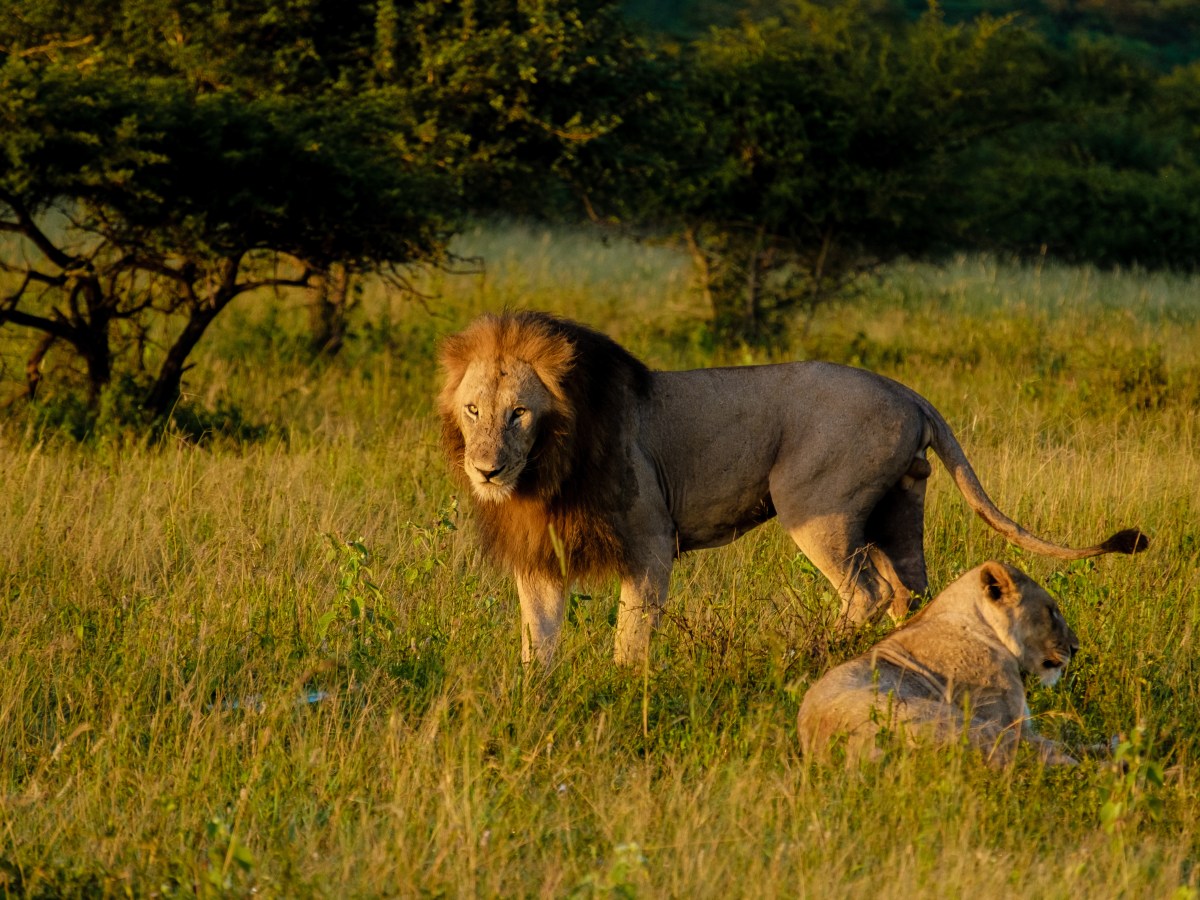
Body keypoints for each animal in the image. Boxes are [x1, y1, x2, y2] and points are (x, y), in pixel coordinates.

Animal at [439, 314, 1142, 667]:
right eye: (473, 411)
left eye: (519, 414)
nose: (486, 471)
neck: (546, 466)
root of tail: (905, 391)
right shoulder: (539, 554)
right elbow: (537, 637)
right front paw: (534, 699)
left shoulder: (650, 541)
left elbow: (631, 634)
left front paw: (623, 687)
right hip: (898, 508)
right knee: (911, 590)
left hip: (814, 507)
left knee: (867, 591)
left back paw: (807, 654)